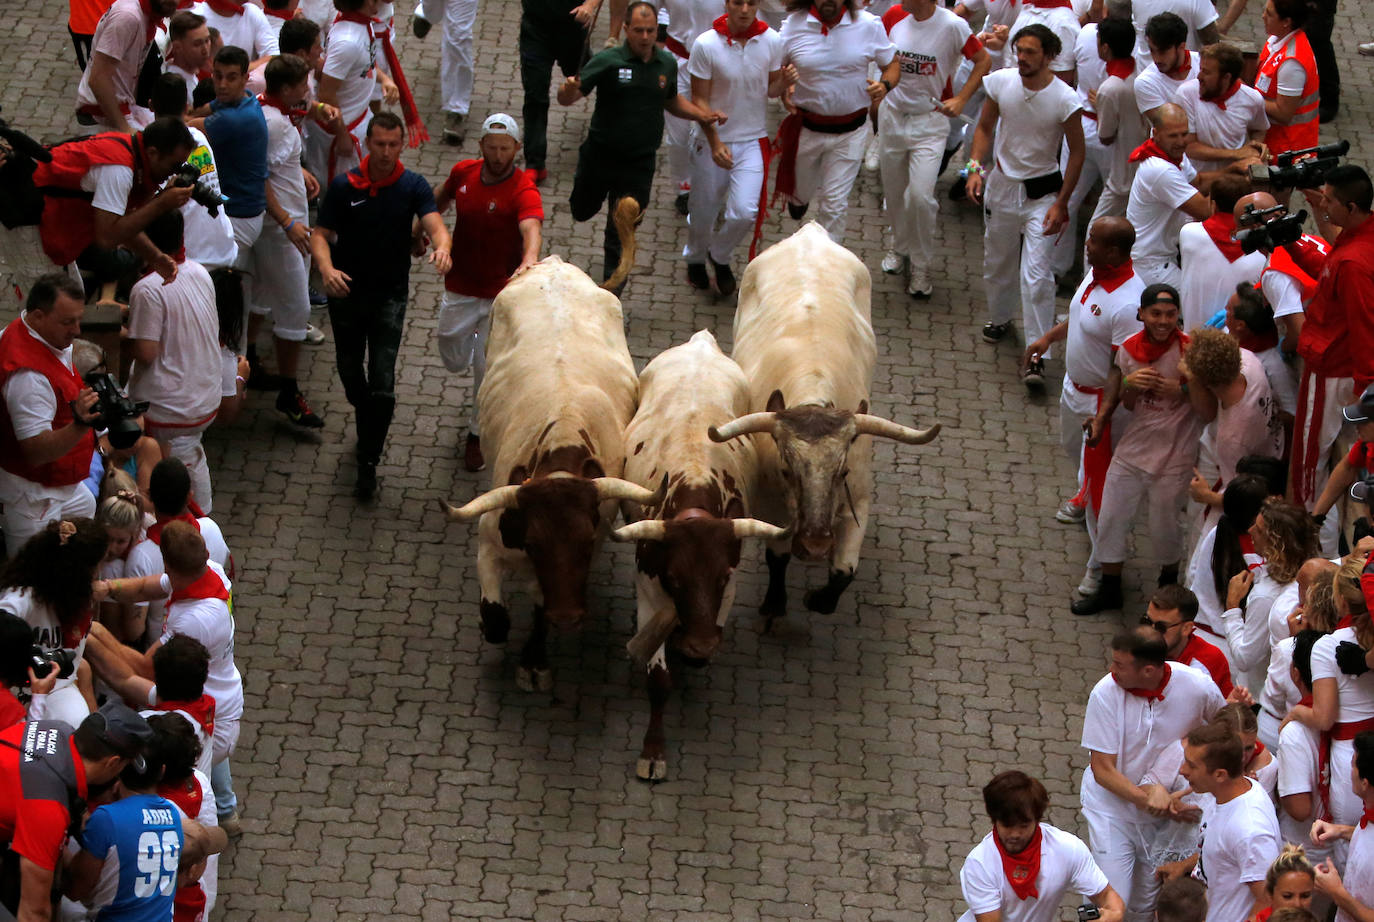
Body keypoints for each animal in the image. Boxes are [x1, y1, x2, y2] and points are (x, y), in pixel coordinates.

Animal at [610, 329, 785, 780]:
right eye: (674, 577)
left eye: (721, 577)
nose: (701, 645)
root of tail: (700, 342)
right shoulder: (648, 591)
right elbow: (658, 682)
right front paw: (653, 751)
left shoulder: (730, 584)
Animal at [708, 223, 945, 626]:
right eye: (787, 470)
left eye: (842, 471)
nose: (816, 544)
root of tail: (810, 233)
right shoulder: (773, 508)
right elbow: (777, 556)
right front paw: (775, 603)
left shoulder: (858, 500)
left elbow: (843, 572)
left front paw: (819, 599)